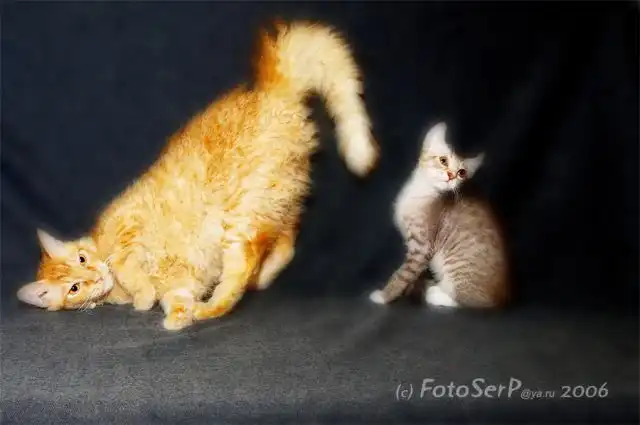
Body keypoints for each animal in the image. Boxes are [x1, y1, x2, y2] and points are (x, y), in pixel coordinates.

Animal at [17, 20, 379, 330]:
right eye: (75, 288)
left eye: (82, 259)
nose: (95, 276)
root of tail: (272, 92)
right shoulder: (179, 284)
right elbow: (174, 299)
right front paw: (176, 317)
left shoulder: (128, 228)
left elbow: (126, 267)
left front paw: (143, 297)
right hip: (274, 202)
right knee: (284, 244)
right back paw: (257, 281)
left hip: (241, 218)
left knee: (243, 269)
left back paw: (215, 304)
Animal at [369, 122, 509, 308]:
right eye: (443, 161)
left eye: (462, 172)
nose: (451, 176)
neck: (421, 191)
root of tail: (503, 298)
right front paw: (408, 289)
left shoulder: (421, 247)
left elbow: (403, 274)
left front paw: (384, 296)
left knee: (470, 300)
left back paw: (436, 294)